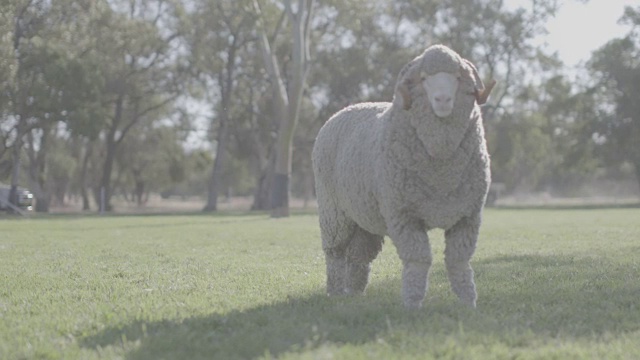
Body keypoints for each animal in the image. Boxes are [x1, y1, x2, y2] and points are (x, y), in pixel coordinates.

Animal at [310, 43, 496, 308]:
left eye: (458, 78)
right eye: (424, 78)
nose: (442, 99)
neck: (441, 171)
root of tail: (346, 109)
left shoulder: (467, 216)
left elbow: (458, 261)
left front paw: (468, 302)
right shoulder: (403, 216)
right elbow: (418, 259)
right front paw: (412, 303)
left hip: (364, 215)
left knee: (358, 254)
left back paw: (354, 291)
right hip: (333, 212)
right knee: (335, 252)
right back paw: (335, 292)